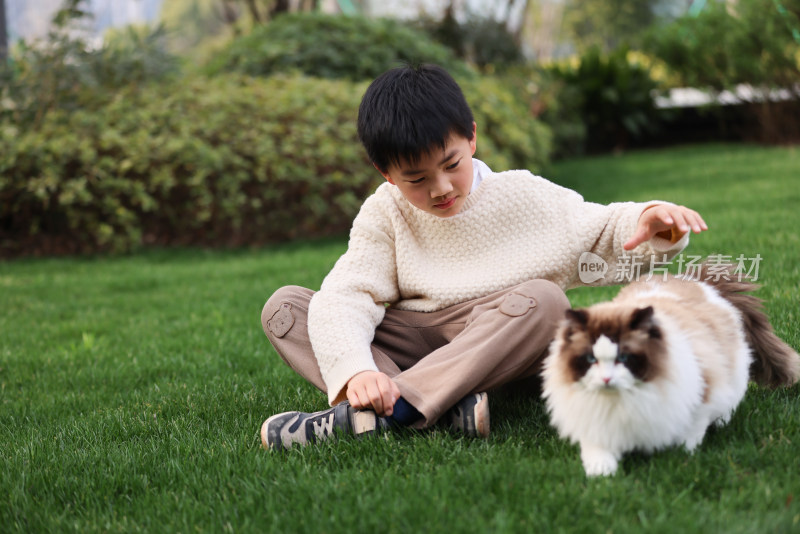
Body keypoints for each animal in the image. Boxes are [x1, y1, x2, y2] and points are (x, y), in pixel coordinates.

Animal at [540, 266, 796, 480]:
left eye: (623, 358)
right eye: (591, 359)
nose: (606, 379)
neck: (622, 400)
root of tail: (693, 279)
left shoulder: (699, 397)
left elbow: (689, 436)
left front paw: (680, 457)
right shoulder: (593, 419)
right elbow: (598, 451)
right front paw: (601, 474)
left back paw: (721, 422)